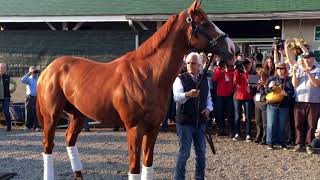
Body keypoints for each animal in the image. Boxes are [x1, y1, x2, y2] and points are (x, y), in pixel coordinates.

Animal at [37, 0, 238, 179]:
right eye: (205, 23)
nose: (232, 48)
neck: (147, 75)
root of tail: (49, 69)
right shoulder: (134, 129)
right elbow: (134, 168)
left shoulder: (153, 129)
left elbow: (147, 165)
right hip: (51, 116)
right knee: (48, 146)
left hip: (78, 115)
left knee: (70, 141)